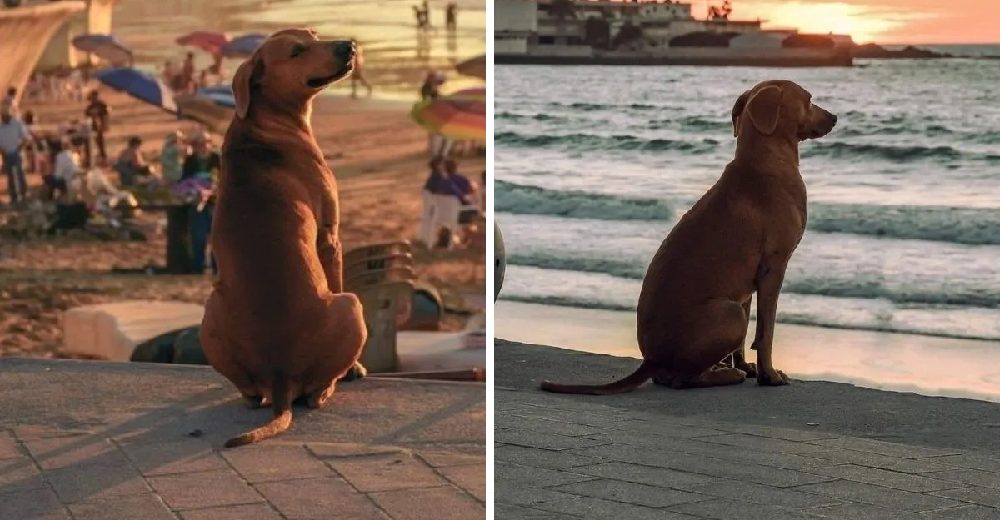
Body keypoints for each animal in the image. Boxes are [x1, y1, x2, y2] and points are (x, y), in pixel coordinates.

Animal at [199, 28, 368, 446]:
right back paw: (332, 384)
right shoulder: (329, 237)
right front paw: (356, 368)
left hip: (210, 312)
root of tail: (280, 376)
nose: (350, 45)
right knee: (316, 391)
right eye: (296, 51)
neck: (264, 124)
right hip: (351, 305)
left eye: (315, 35)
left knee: (248, 394)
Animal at [540, 79, 836, 392]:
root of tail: (652, 359)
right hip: (729, 313)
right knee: (681, 379)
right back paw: (723, 374)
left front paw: (748, 367)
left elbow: (745, 340)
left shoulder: (747, 282)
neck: (765, 160)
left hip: (732, 308)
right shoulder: (773, 268)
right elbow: (765, 332)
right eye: (809, 99)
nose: (835, 117)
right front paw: (769, 375)